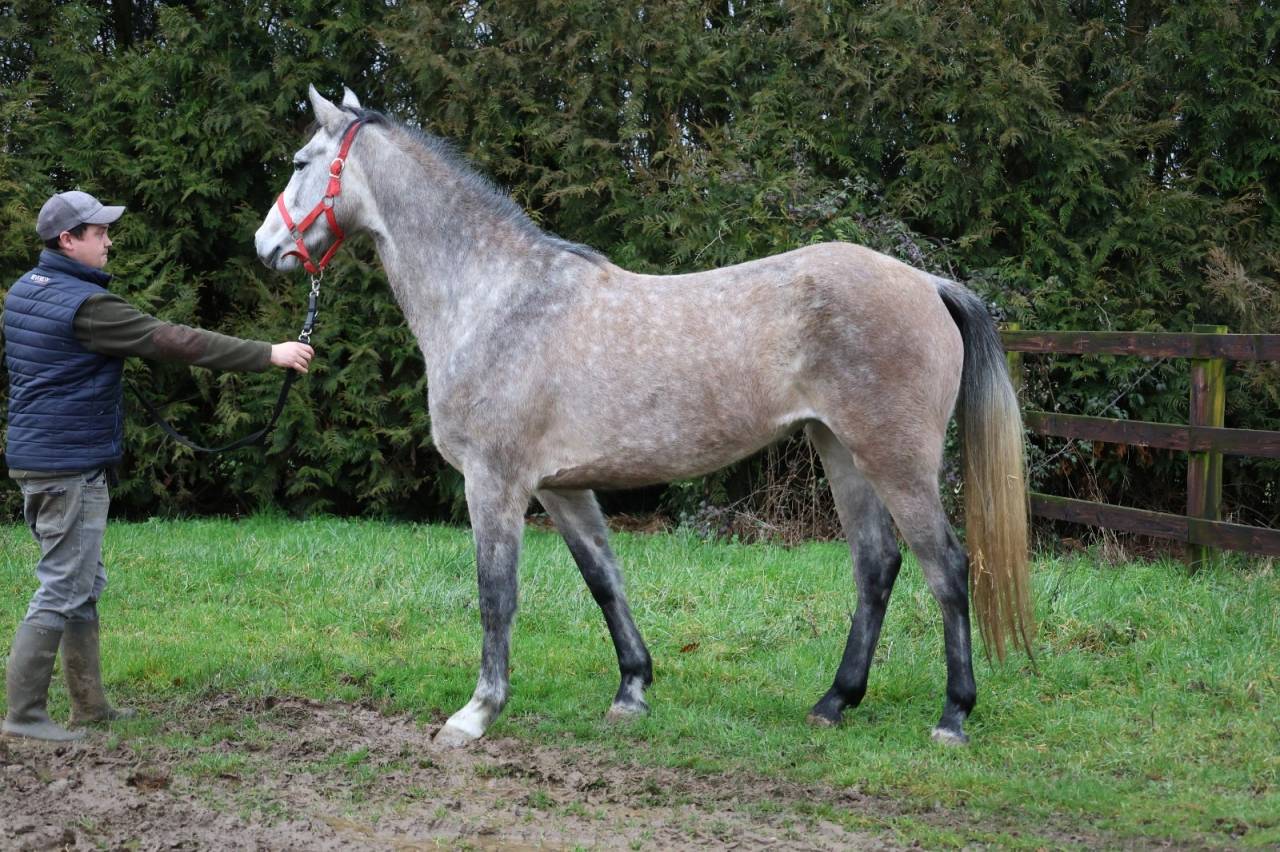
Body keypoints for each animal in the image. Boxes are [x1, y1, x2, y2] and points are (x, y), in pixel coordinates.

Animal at [255, 85, 1034, 748]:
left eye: (300, 162)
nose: (266, 247)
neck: (496, 299)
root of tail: (926, 283)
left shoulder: (495, 483)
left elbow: (495, 595)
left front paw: (475, 714)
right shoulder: (561, 487)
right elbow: (604, 578)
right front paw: (632, 690)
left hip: (895, 459)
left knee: (946, 567)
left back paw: (953, 715)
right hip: (840, 451)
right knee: (877, 566)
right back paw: (833, 702)